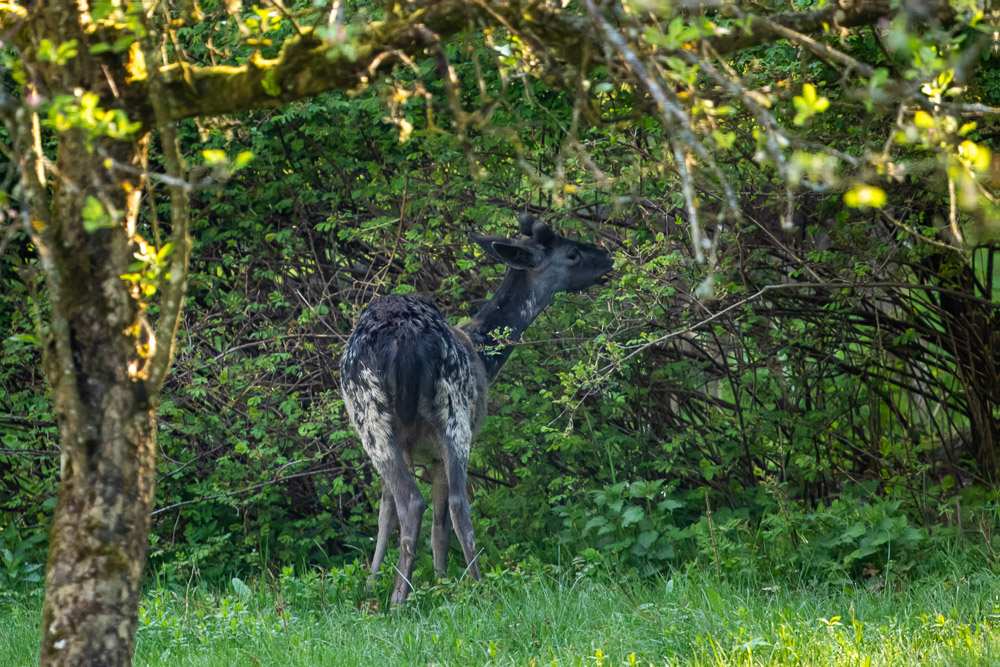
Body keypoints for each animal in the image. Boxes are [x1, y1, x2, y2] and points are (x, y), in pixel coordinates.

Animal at [340, 215, 612, 604]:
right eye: (573, 252)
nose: (608, 258)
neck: (484, 354)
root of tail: (403, 337)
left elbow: (385, 512)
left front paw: (374, 582)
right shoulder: (432, 448)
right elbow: (417, 519)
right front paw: (431, 581)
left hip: (377, 419)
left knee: (421, 502)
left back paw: (406, 595)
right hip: (449, 413)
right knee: (449, 502)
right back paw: (459, 589)